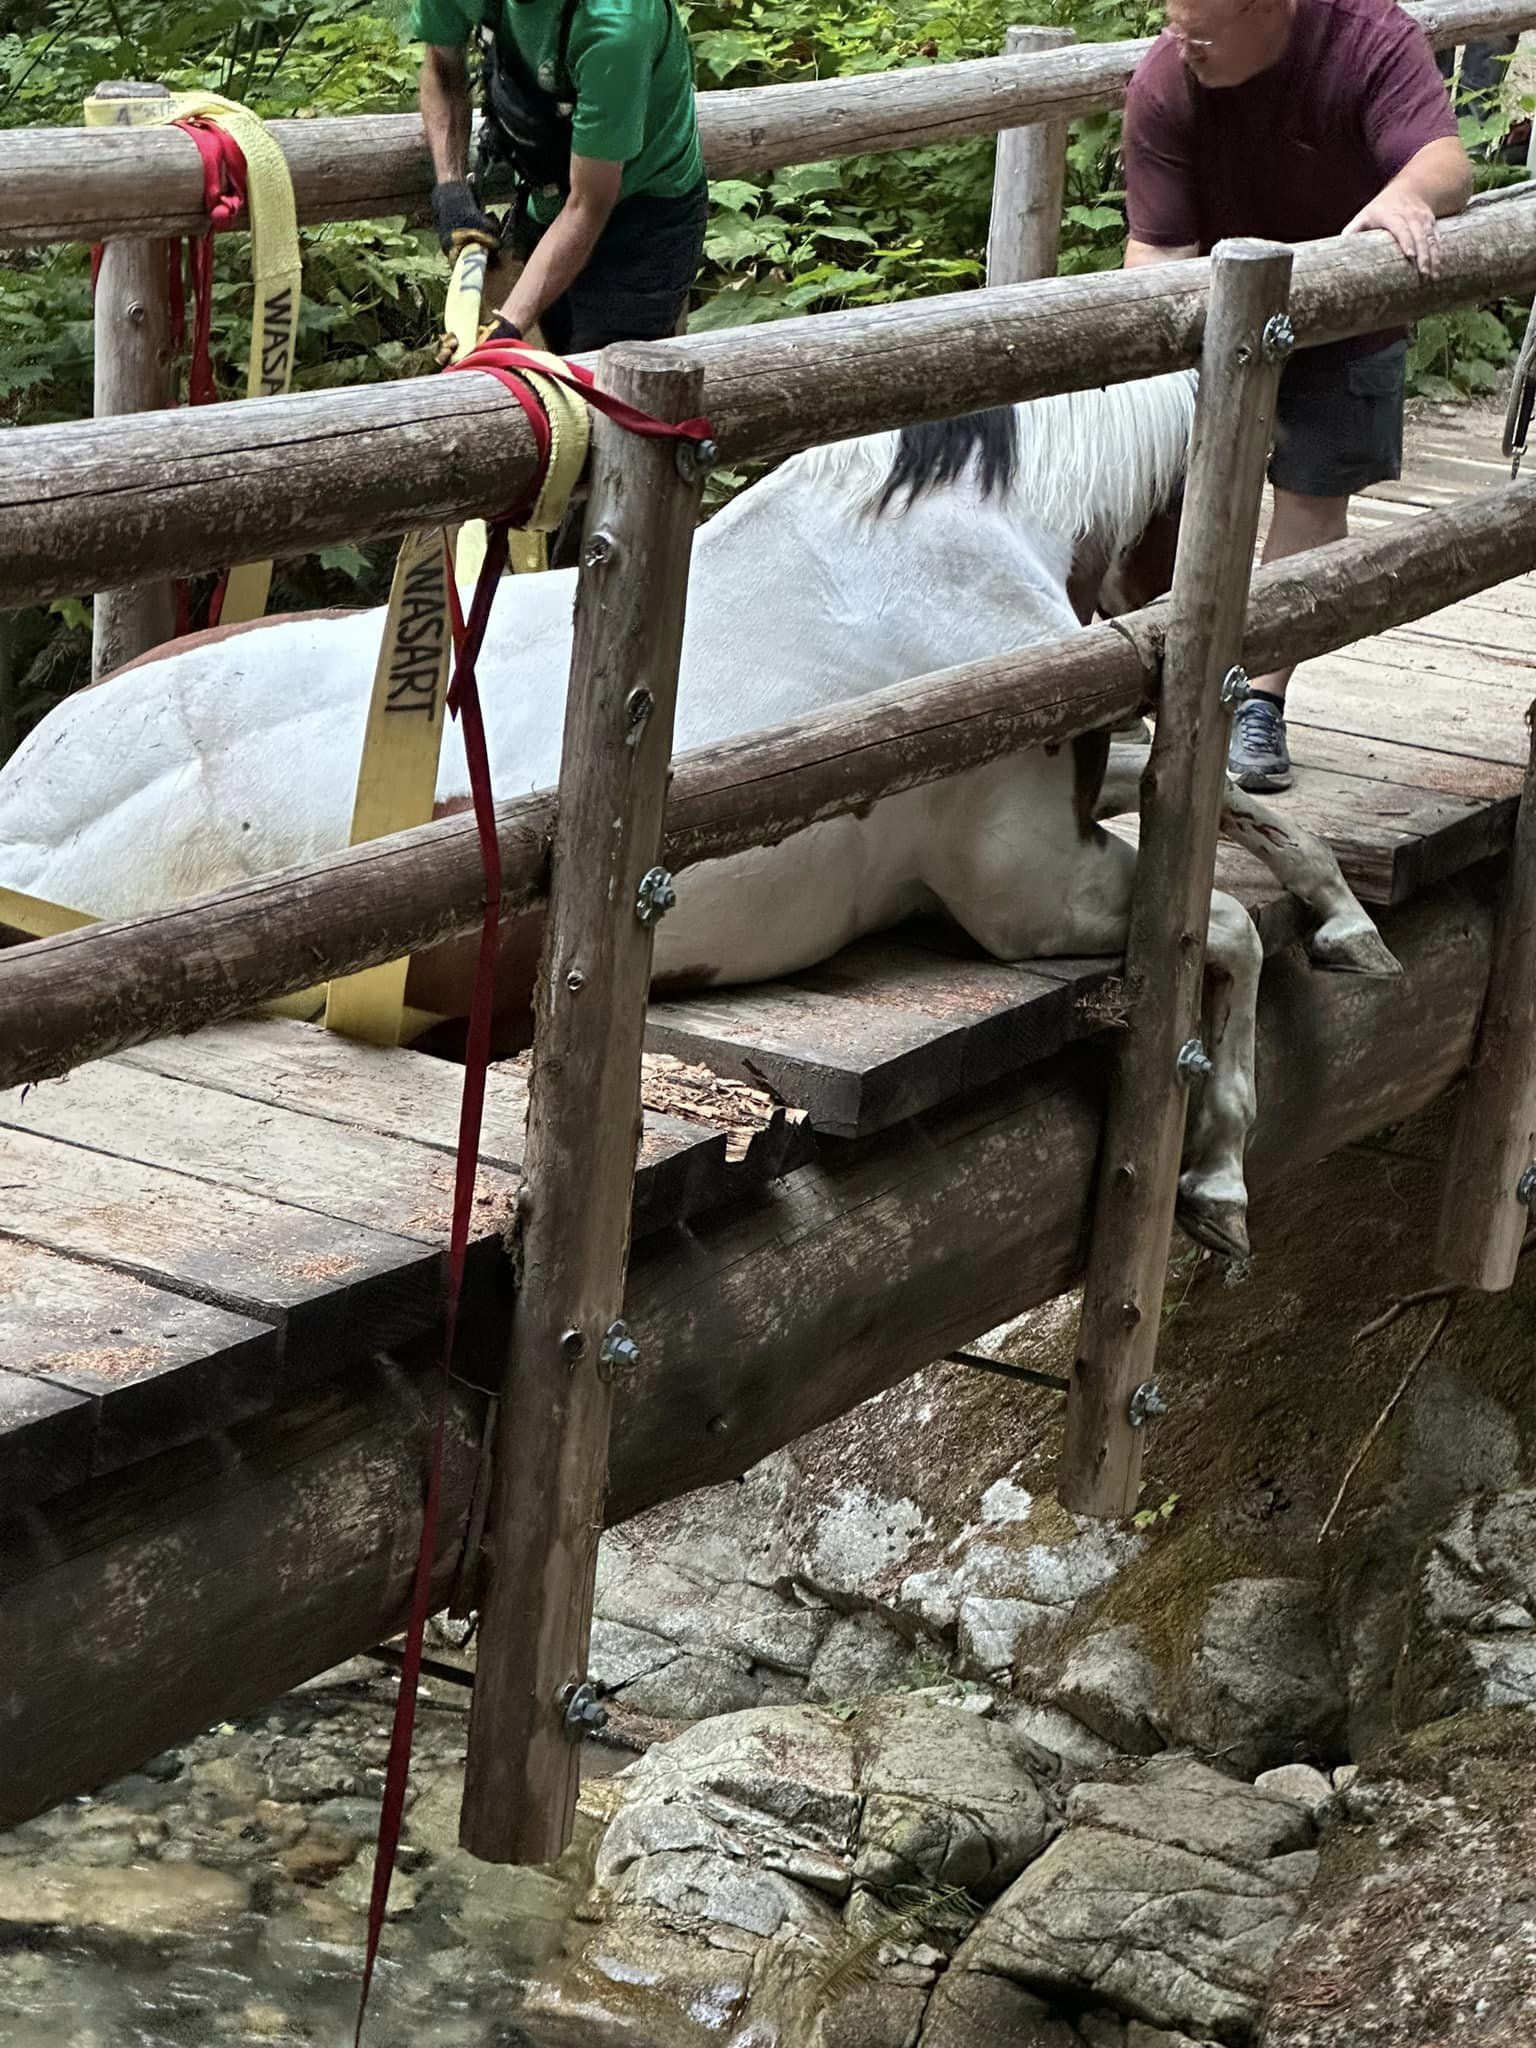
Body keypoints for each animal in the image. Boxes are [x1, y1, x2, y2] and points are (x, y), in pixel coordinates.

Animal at [0, 376, 1392, 1253]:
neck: (955, 554)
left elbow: (1241, 821)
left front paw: (1346, 919)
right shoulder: (1025, 895)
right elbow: (1222, 927)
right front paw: (1219, 1176)